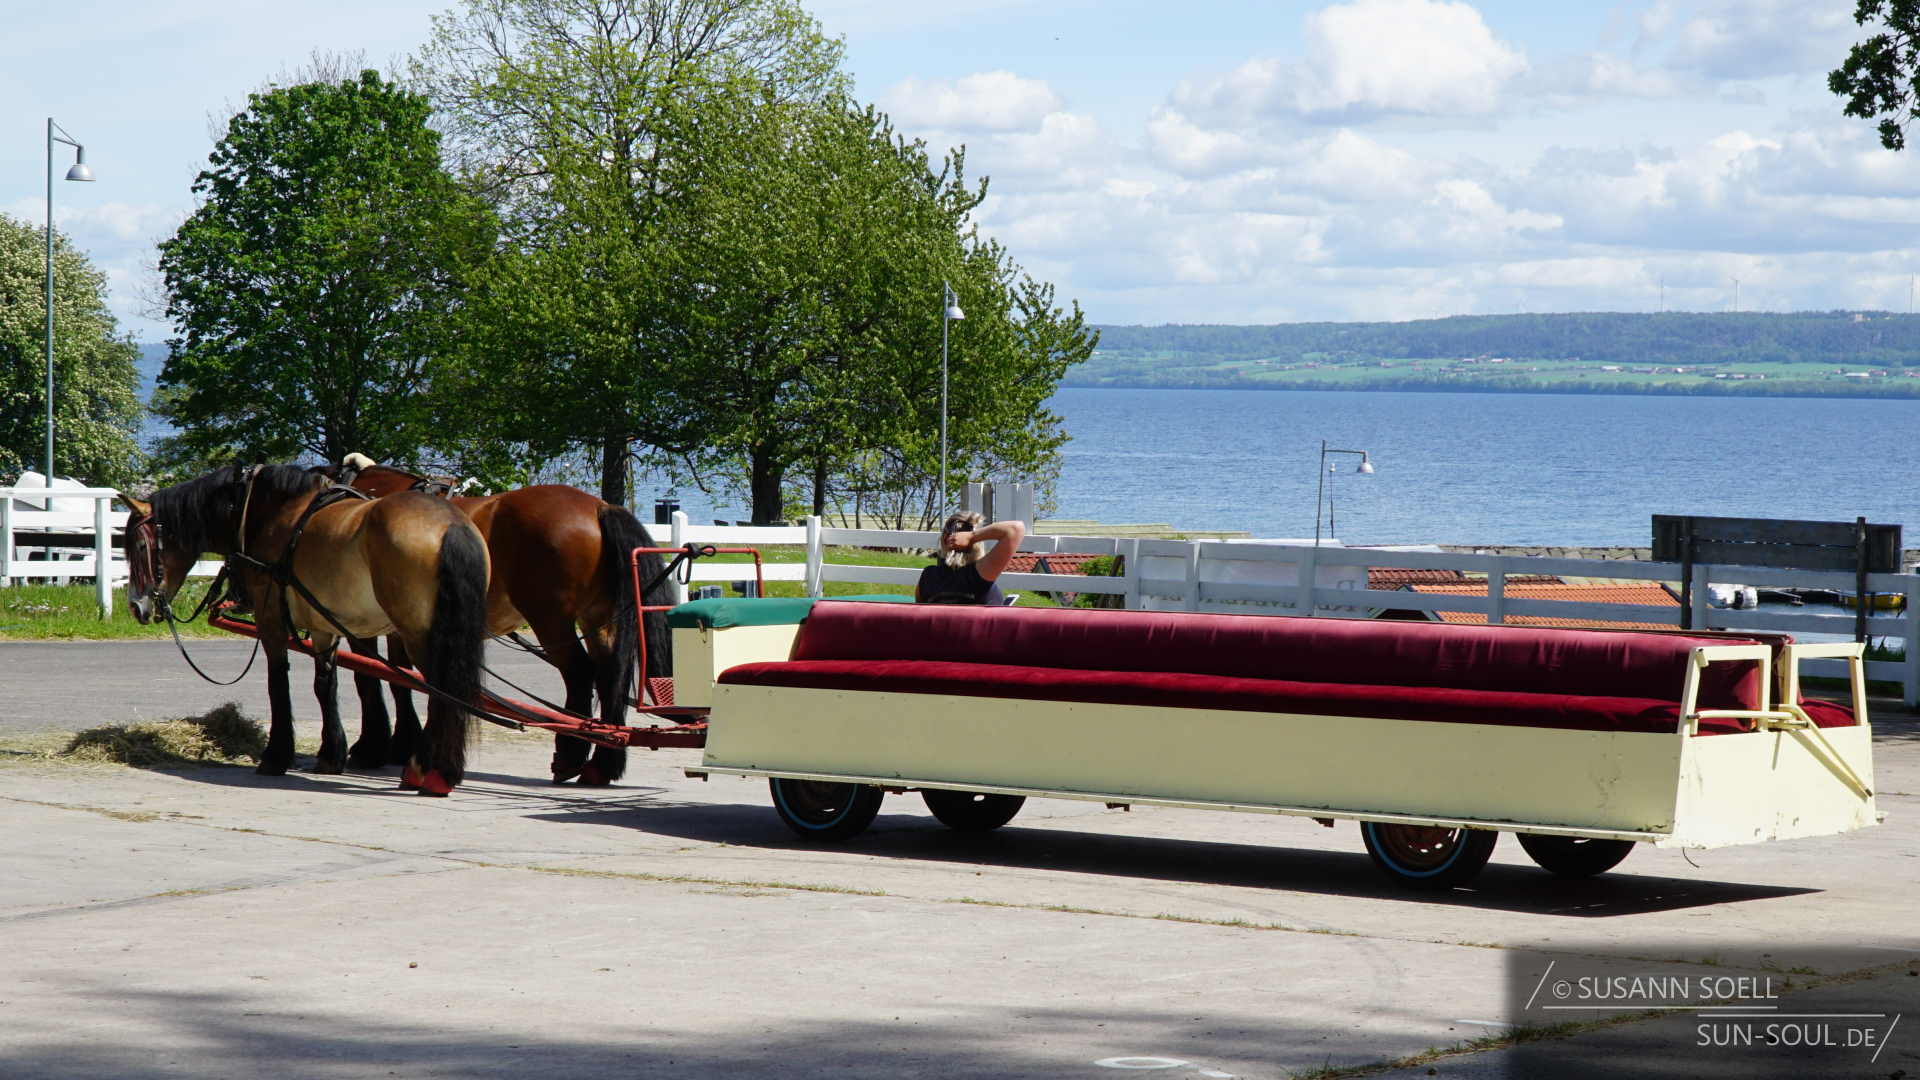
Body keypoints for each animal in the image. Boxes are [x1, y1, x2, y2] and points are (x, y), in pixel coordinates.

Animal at [120, 464, 490, 795]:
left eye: (139, 547)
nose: (136, 606)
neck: (266, 514)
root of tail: (450, 523)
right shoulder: (325, 627)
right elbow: (325, 685)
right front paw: (331, 754)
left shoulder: (270, 619)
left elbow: (277, 683)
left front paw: (276, 756)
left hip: (419, 635)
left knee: (442, 692)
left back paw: (427, 770)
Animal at [330, 457, 674, 786]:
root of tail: (599, 507)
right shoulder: (403, 624)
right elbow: (399, 677)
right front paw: (401, 743)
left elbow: (373, 677)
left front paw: (373, 747)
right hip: (597, 618)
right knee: (609, 675)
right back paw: (602, 764)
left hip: (550, 619)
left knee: (579, 673)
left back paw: (570, 756)